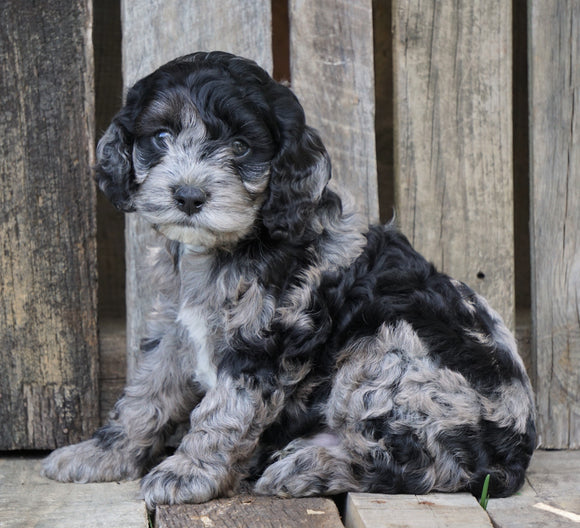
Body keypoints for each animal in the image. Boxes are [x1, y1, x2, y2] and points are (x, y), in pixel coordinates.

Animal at [43, 51, 536, 510]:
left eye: (241, 146)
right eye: (160, 137)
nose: (188, 196)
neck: (232, 246)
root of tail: (514, 459)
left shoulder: (267, 339)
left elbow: (224, 411)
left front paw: (186, 473)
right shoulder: (173, 331)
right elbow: (144, 396)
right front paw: (102, 453)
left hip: (393, 356)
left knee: (423, 465)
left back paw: (308, 467)